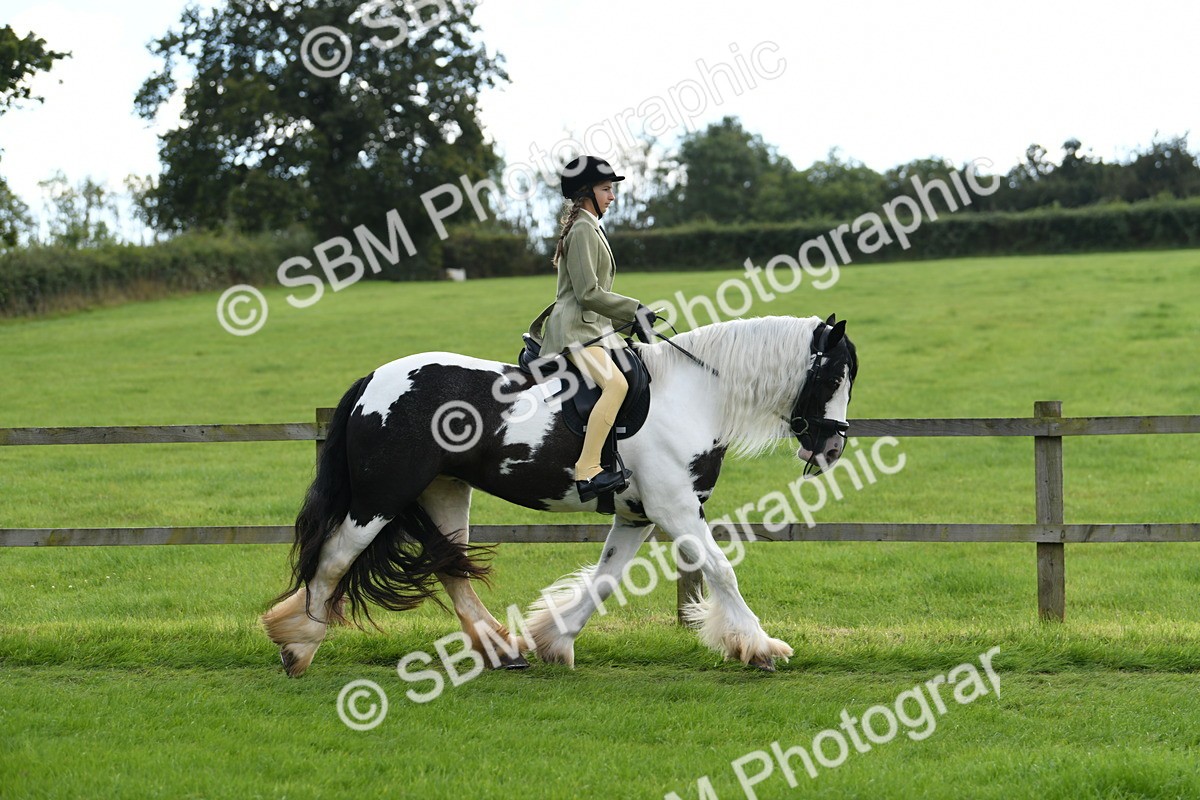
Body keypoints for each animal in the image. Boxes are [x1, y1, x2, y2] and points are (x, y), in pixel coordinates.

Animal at [262, 314, 858, 675]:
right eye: (834, 376)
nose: (832, 448)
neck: (692, 395)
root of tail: (372, 382)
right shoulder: (677, 511)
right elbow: (721, 570)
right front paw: (759, 646)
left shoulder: (638, 517)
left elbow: (605, 580)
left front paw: (554, 640)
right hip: (379, 499)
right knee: (334, 559)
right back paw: (298, 645)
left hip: (446, 492)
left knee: (450, 567)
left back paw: (504, 649)